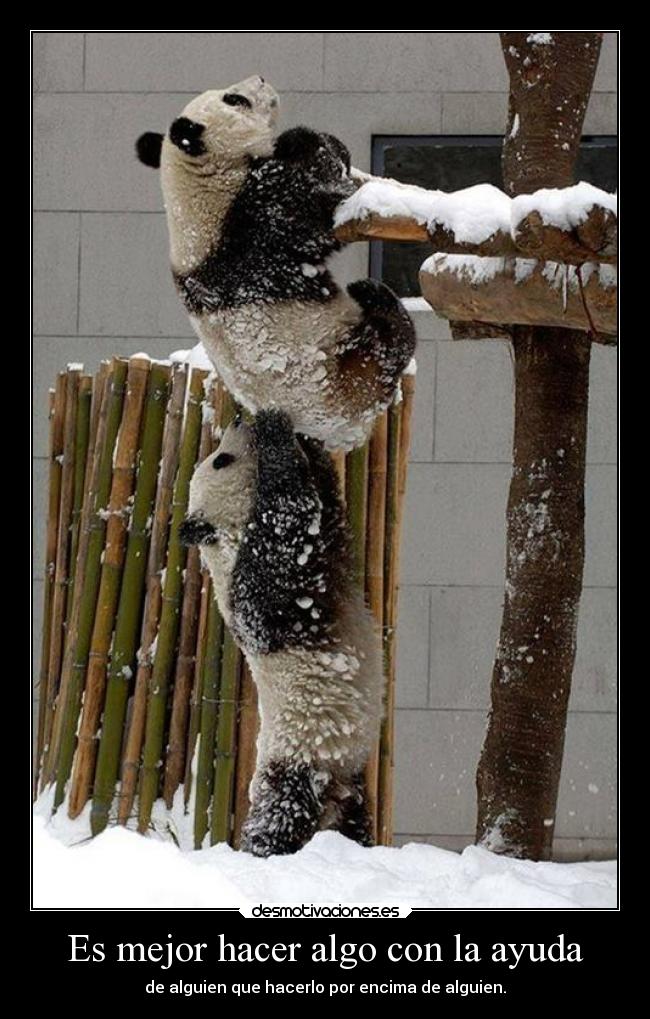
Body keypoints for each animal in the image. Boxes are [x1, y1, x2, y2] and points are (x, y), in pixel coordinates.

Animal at [136, 75, 416, 451]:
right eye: (234, 99)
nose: (261, 79)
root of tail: (343, 434)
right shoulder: (252, 225)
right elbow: (312, 200)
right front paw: (302, 140)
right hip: (349, 366)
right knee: (390, 344)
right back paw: (375, 296)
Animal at [179, 408, 383, 856]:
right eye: (221, 460)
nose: (239, 419)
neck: (224, 535)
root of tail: (331, 796)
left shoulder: (329, 541)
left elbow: (327, 504)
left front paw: (309, 443)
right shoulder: (256, 589)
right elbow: (288, 526)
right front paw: (275, 430)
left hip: (349, 773)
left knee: (354, 821)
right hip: (296, 757)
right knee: (279, 816)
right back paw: (261, 851)